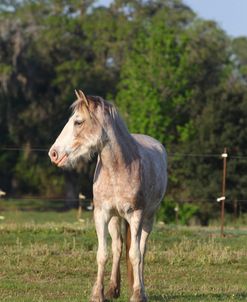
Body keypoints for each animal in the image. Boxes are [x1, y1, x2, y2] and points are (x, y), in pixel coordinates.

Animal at [48, 90, 168, 302]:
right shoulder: (101, 214)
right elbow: (103, 254)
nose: (53, 153)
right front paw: (98, 293)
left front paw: (137, 294)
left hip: (148, 218)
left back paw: (141, 289)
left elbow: (135, 254)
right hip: (115, 218)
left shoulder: (136, 216)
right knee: (118, 248)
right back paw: (113, 289)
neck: (118, 169)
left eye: (78, 122)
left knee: (141, 250)